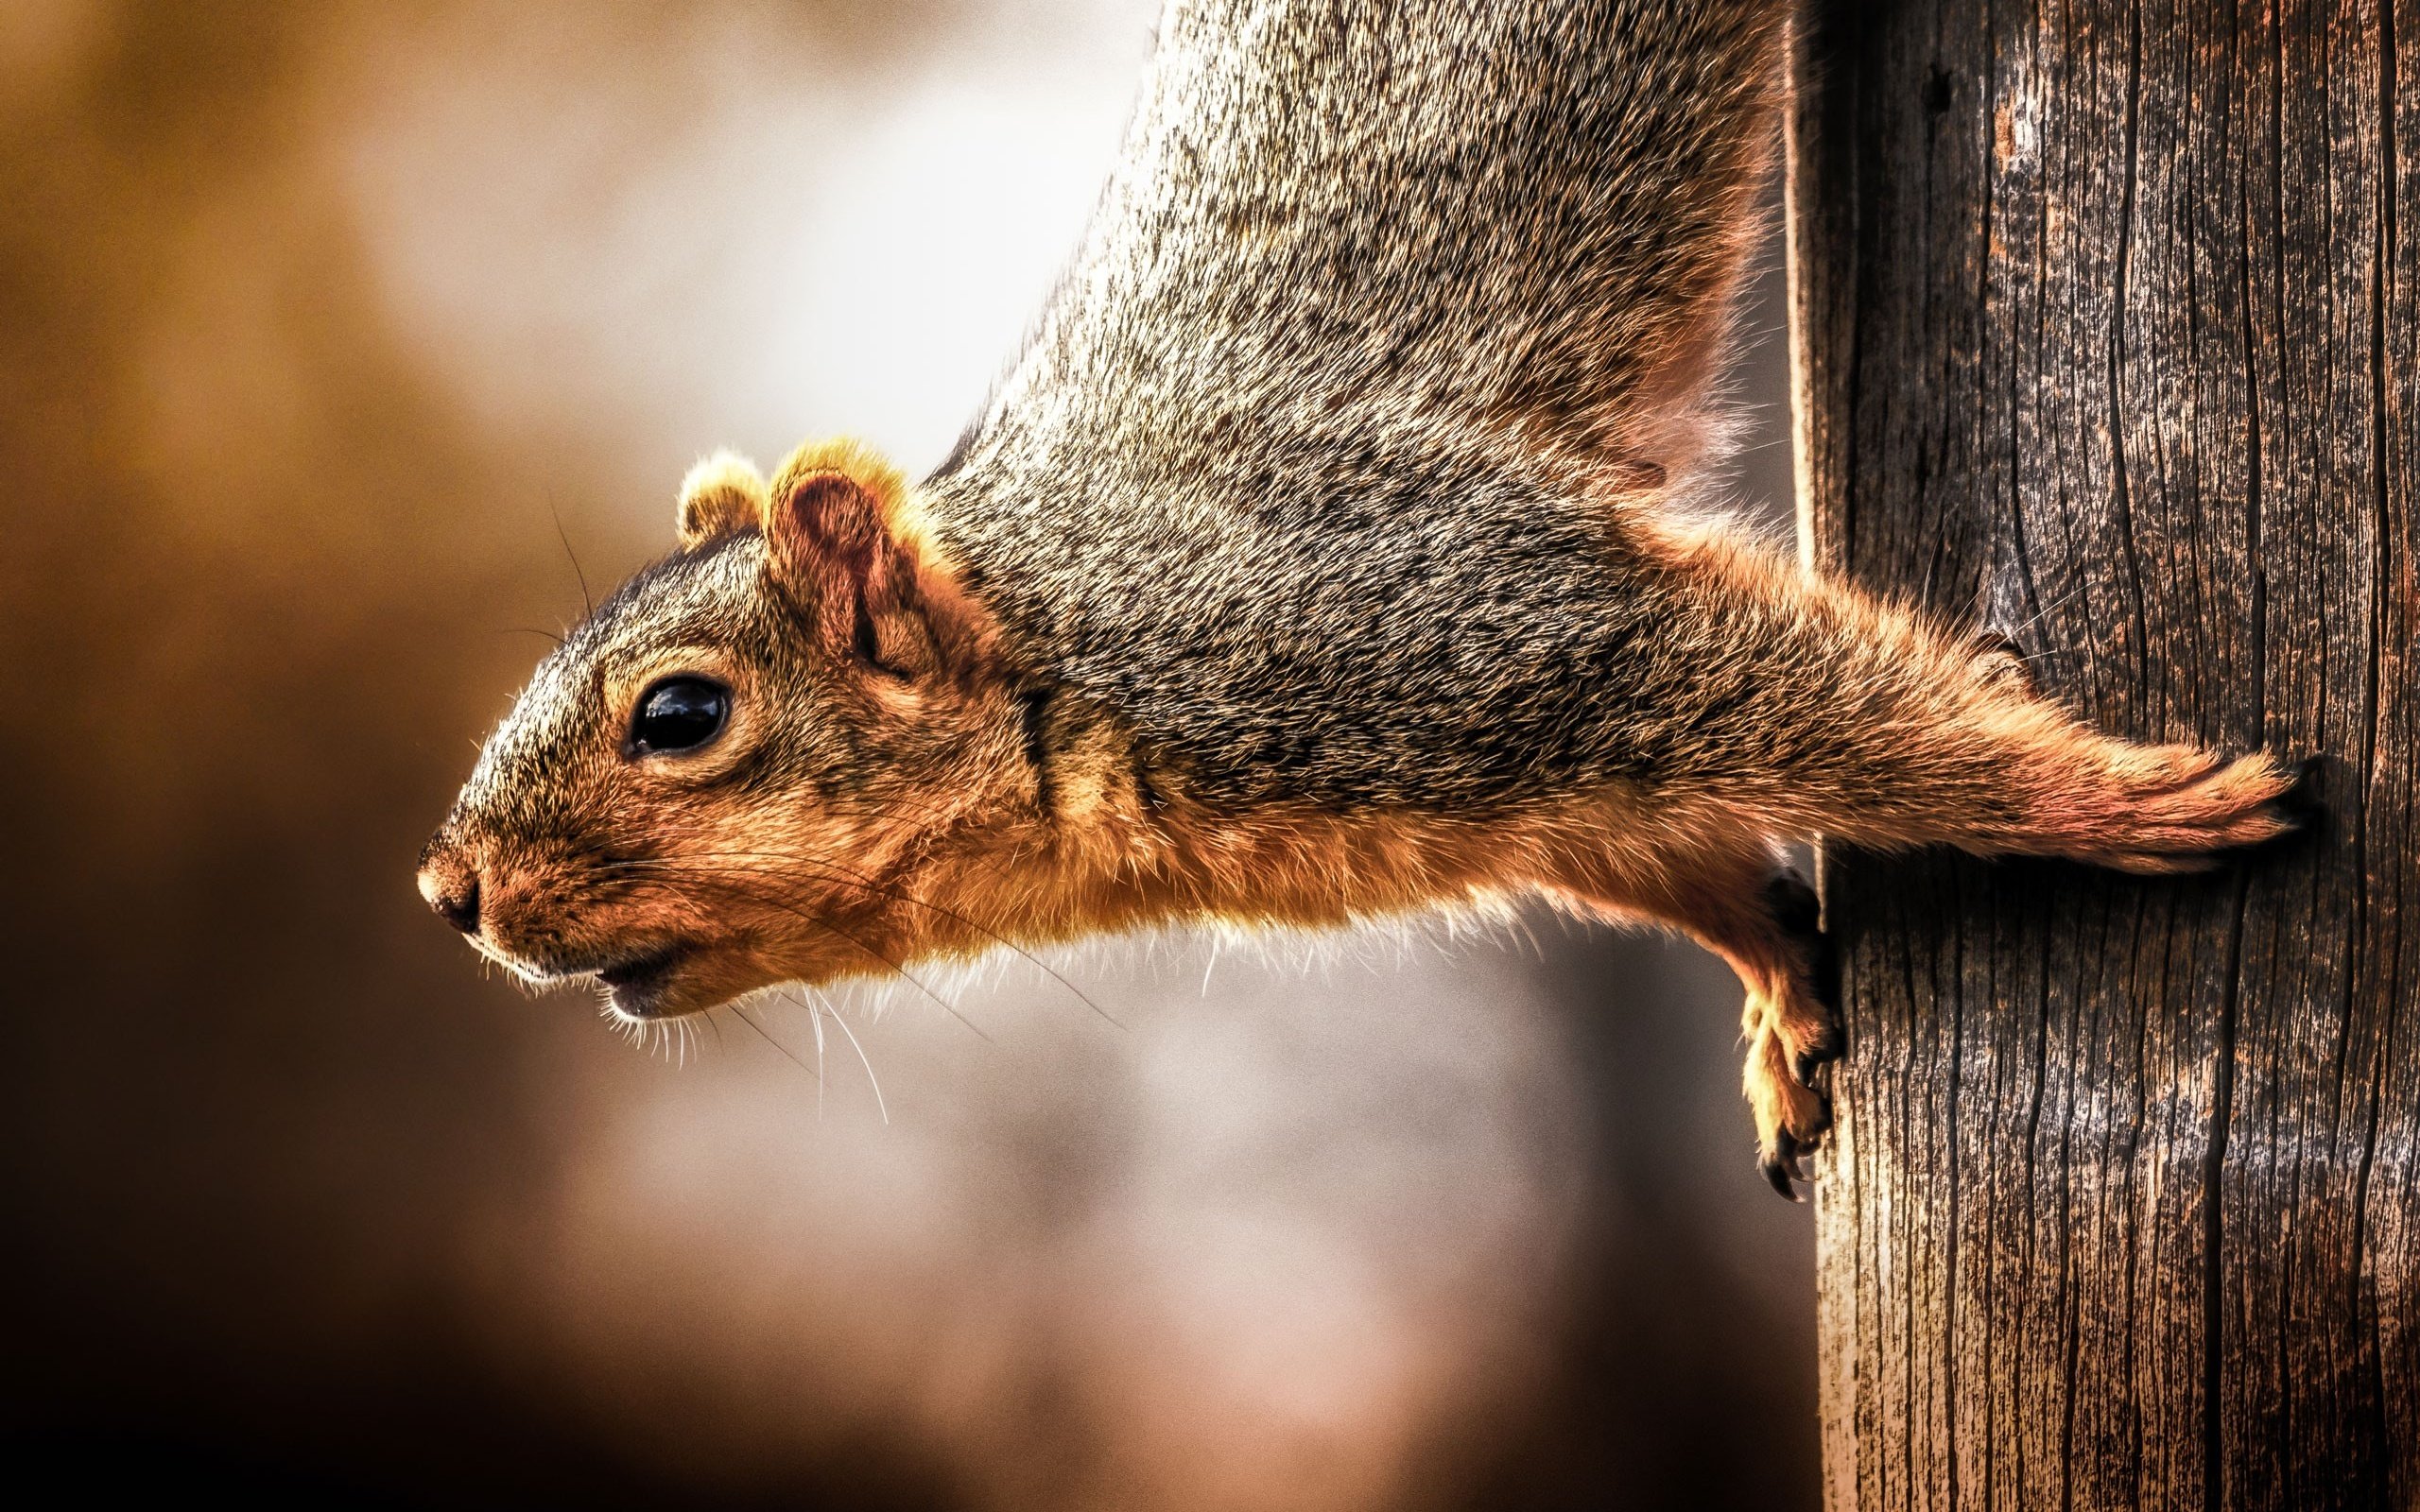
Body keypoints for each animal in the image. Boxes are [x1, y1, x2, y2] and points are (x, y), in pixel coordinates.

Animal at [416, 3, 2304, 1204]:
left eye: (680, 715)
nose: (450, 892)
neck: (1067, 641)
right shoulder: (1509, 787)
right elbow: (1679, 860)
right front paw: (1782, 995)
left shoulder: (1446, 620)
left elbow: (1826, 695)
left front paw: (2113, 798)